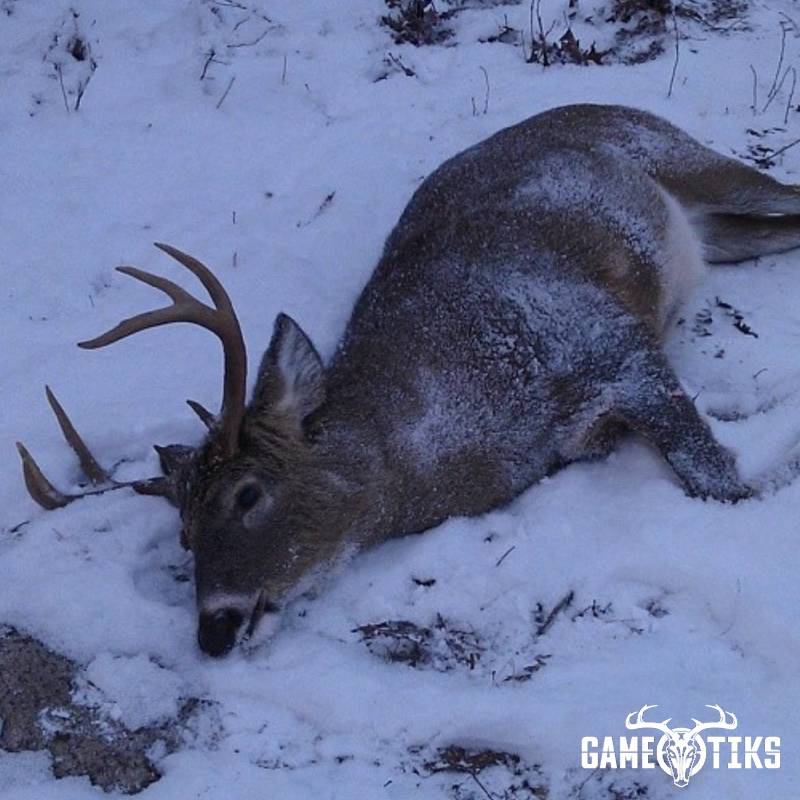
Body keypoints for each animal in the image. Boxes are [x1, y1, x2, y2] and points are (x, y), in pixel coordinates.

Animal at [16, 104, 800, 656]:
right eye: (183, 534)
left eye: (248, 494)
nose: (214, 628)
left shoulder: (605, 336)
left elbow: (713, 477)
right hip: (718, 232)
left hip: (682, 156)